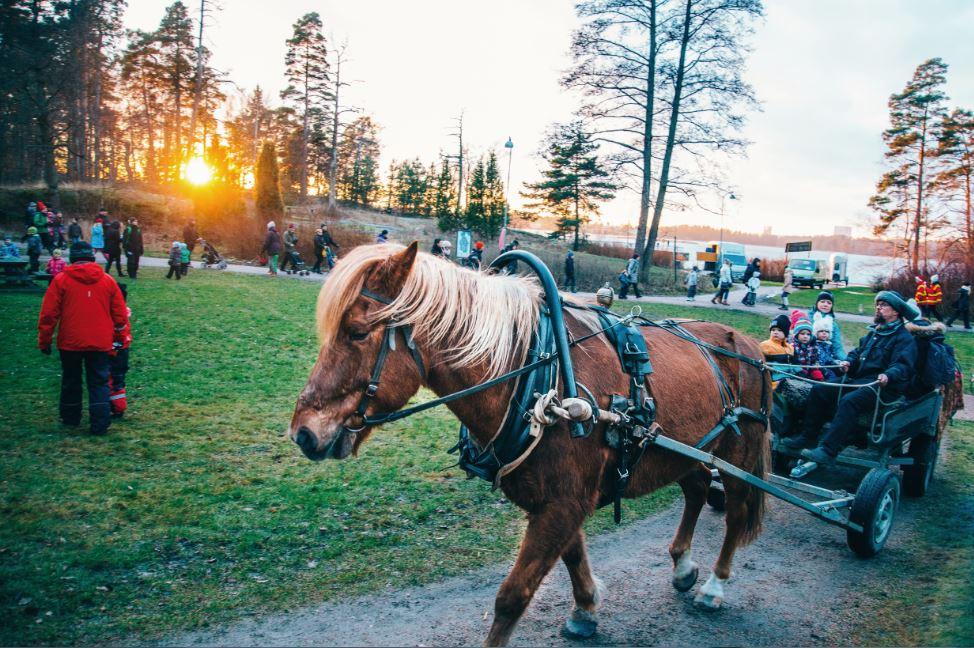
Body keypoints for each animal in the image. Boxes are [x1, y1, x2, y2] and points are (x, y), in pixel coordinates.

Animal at [290, 242, 772, 644]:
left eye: (356, 332)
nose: (303, 433)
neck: (539, 373)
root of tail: (752, 348)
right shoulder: (557, 501)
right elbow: (574, 555)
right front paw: (586, 609)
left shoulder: (562, 503)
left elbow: (513, 596)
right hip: (686, 451)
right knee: (696, 490)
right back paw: (684, 564)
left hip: (740, 453)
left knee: (735, 512)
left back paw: (714, 585)